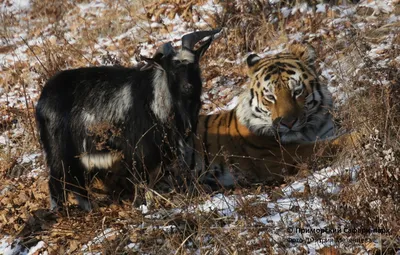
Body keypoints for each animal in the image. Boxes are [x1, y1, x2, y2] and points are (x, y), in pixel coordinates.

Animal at [35, 28, 220, 211]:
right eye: (172, 71)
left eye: (194, 65)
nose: (188, 88)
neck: (155, 99)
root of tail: (43, 99)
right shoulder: (139, 151)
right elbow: (142, 183)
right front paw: (141, 207)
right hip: (59, 151)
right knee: (57, 182)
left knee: (76, 183)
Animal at [192, 43, 348, 189]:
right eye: (270, 97)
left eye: (297, 92)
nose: (288, 123)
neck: (311, 130)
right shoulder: (280, 155)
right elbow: (329, 144)